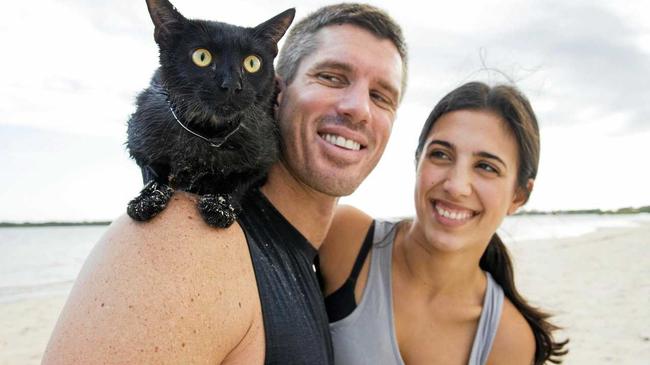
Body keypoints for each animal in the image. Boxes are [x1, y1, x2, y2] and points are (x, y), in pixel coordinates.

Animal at [126, 0, 294, 226]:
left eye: (252, 63)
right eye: (202, 56)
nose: (231, 85)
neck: (207, 135)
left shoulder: (264, 155)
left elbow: (238, 181)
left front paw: (219, 205)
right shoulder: (139, 138)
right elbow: (152, 170)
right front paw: (148, 198)